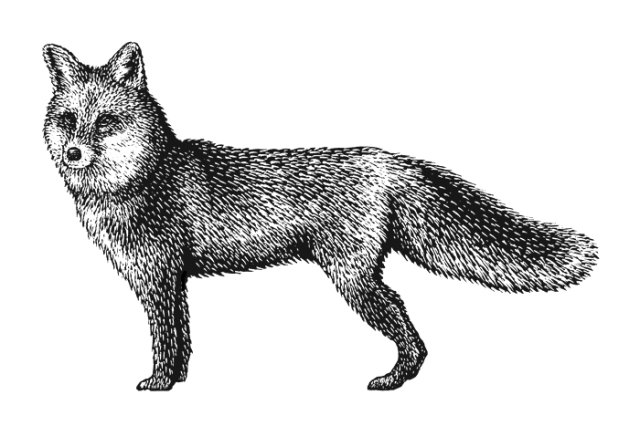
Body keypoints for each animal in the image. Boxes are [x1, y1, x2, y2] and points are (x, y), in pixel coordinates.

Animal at [42, 42, 598, 391]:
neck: (137, 178)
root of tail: (387, 158)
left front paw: (159, 384)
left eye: (105, 122)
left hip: (351, 279)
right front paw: (178, 381)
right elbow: (182, 339)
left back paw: (396, 379)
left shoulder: (155, 278)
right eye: (68, 119)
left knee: (402, 316)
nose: (72, 153)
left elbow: (163, 339)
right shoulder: (173, 280)